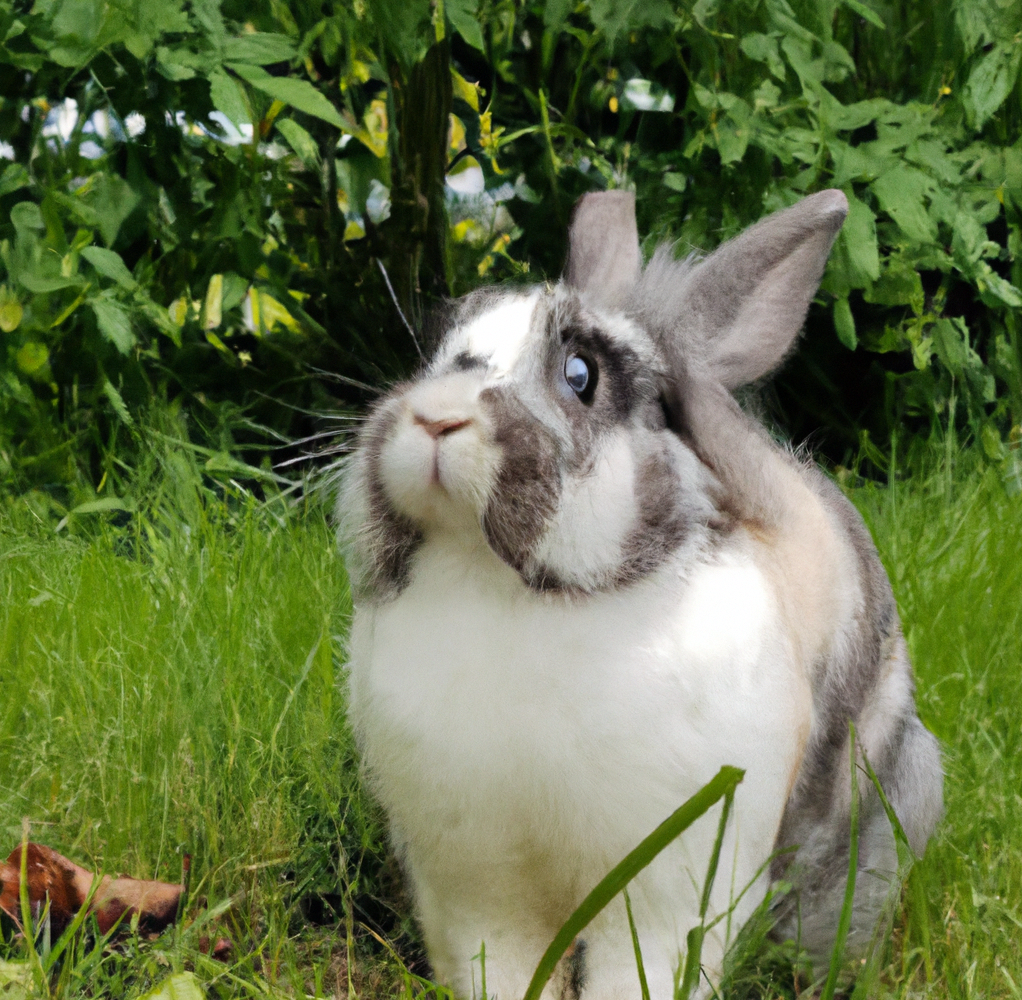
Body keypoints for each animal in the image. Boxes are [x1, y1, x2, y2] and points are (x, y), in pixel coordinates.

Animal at [339, 189, 944, 997]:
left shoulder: (671, 893)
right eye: (436, 351)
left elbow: (642, 972)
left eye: (581, 374)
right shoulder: (471, 891)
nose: (436, 417)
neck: (500, 588)